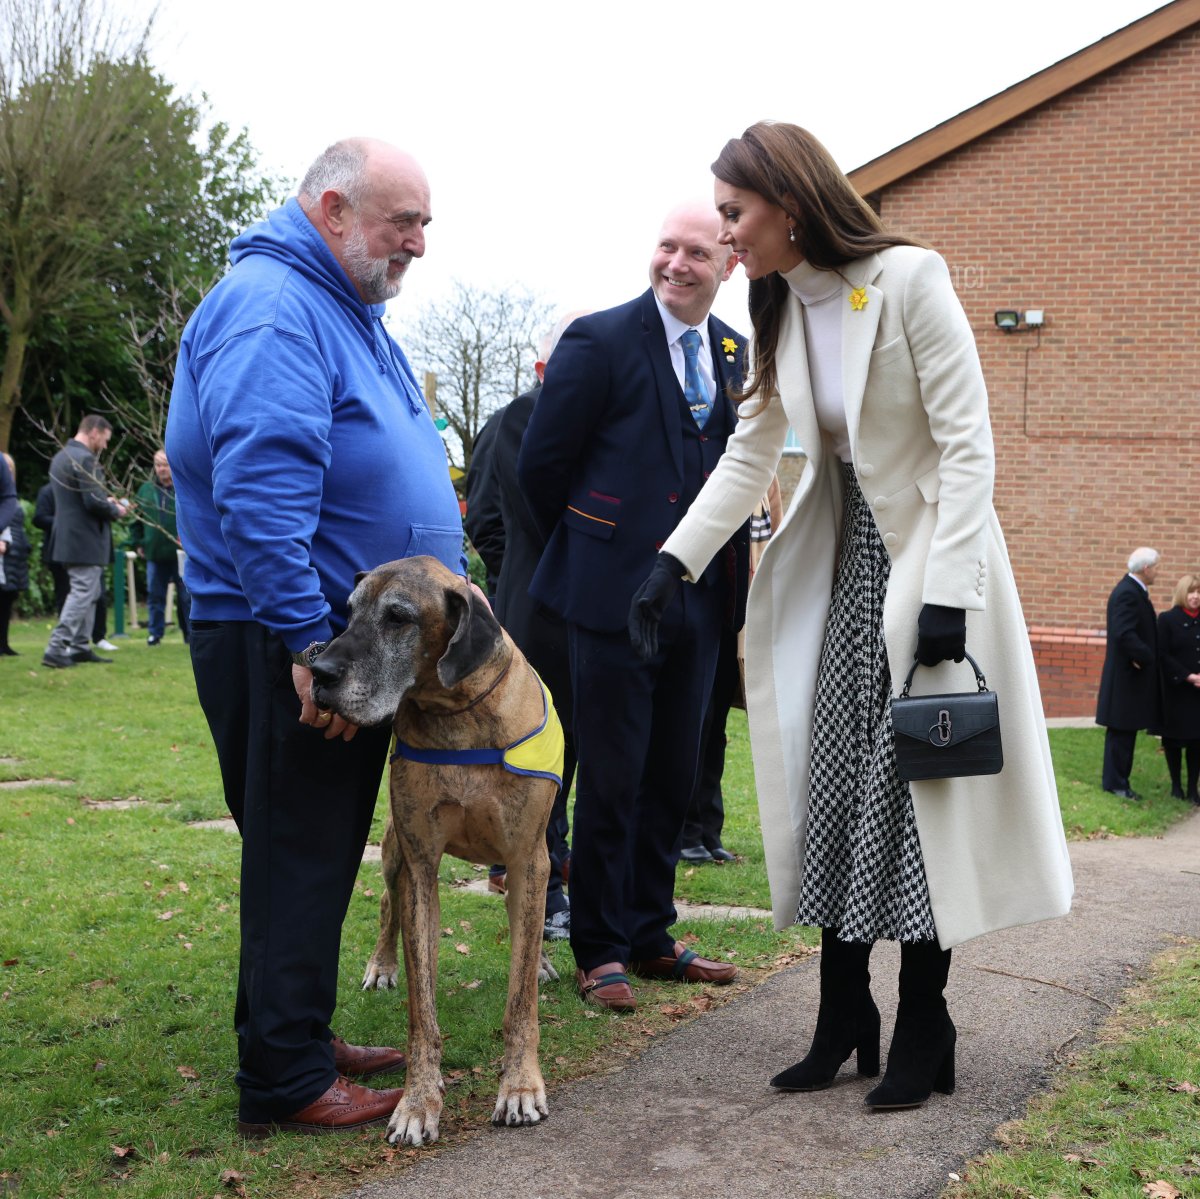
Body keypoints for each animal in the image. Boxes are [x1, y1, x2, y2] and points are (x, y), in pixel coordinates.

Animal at [314, 556, 566, 1147]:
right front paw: (418, 1101)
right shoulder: (421, 863)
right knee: (387, 903)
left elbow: (520, 997)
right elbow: (421, 1009)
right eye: (349, 611)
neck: (456, 709)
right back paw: (382, 965)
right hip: (392, 850)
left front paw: (520, 1087)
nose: (318, 672)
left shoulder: (528, 857)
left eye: (398, 617)